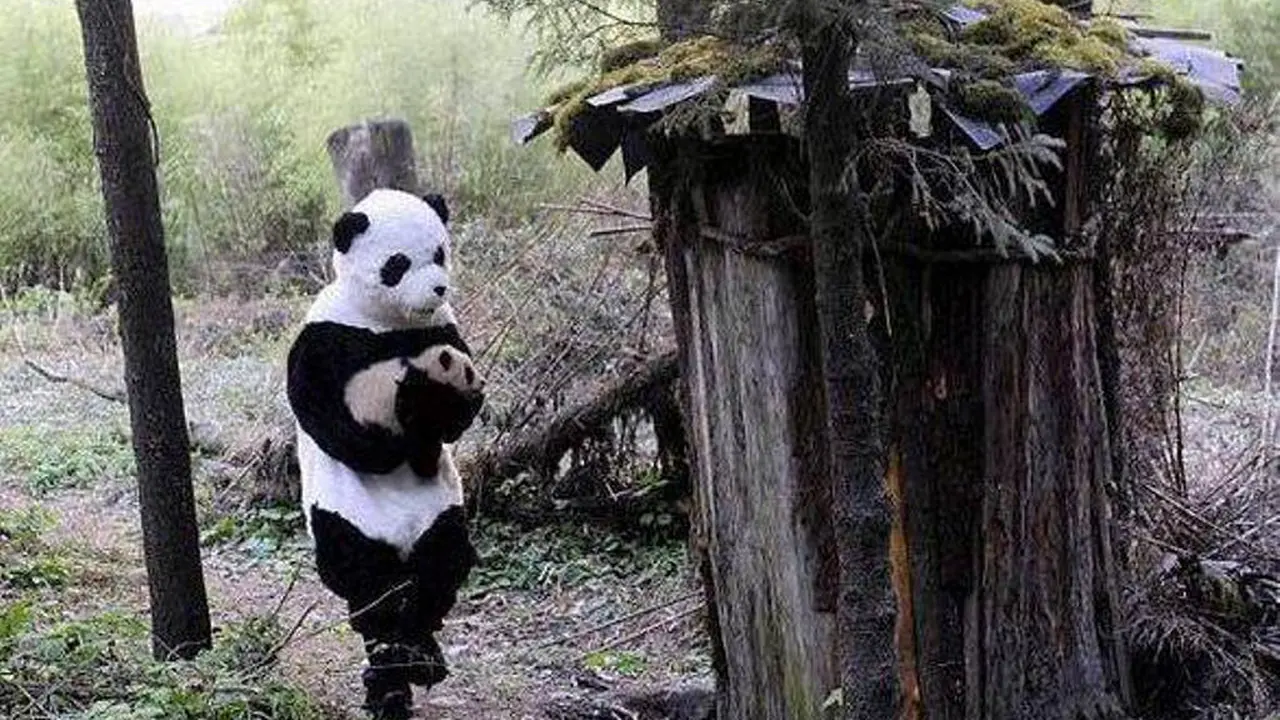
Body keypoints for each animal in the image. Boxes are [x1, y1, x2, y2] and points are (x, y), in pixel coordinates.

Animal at [285, 188, 484, 720]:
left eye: (439, 253)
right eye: (398, 263)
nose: (438, 288)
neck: (389, 324)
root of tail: (401, 540)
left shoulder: (445, 329)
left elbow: (452, 426)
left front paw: (441, 395)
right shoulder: (326, 336)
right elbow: (338, 429)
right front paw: (409, 408)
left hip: (441, 509)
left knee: (443, 561)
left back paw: (419, 651)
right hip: (344, 512)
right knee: (363, 577)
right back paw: (392, 660)